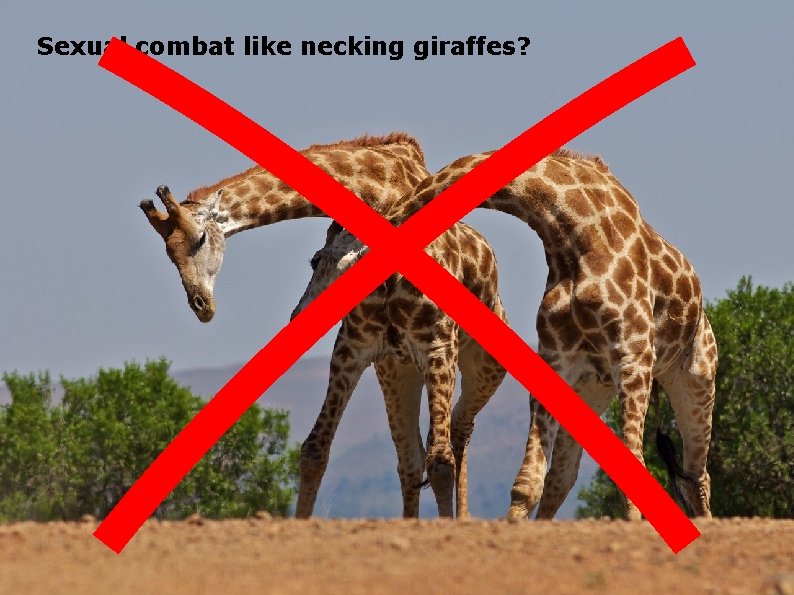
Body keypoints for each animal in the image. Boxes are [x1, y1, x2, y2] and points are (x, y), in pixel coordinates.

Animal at [291, 213, 508, 519]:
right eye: (314, 260)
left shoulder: (439, 348)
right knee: (412, 458)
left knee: (459, 428)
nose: (297, 315)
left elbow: (441, 463)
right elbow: (314, 450)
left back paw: (463, 517)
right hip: (398, 372)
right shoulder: (351, 349)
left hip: (487, 366)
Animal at [320, 148, 717, 521]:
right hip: (594, 388)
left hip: (695, 379)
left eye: (330, 261)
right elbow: (529, 481)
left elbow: (633, 468)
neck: (572, 235)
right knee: (563, 477)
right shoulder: (558, 359)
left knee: (698, 474)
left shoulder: (634, 356)